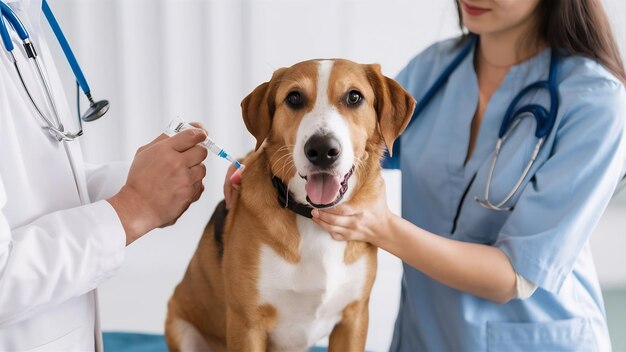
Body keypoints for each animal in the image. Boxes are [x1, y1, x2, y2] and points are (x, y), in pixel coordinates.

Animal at [165, 59, 414, 350]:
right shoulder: (247, 324)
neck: (314, 218)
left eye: (354, 97)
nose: (321, 150)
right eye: (294, 98)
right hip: (182, 328)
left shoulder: (353, 319)